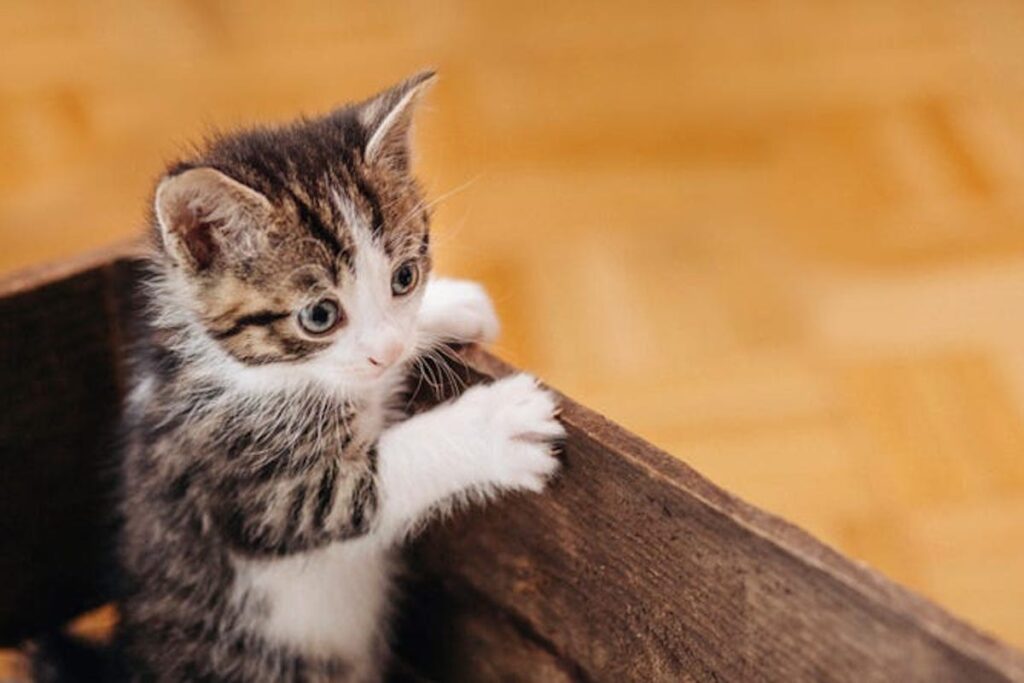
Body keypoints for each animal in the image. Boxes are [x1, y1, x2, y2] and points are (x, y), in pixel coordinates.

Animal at [116, 70, 565, 683]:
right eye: (319, 316)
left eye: (404, 277)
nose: (387, 349)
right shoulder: (254, 488)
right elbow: (361, 485)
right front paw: (495, 427)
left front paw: (451, 306)